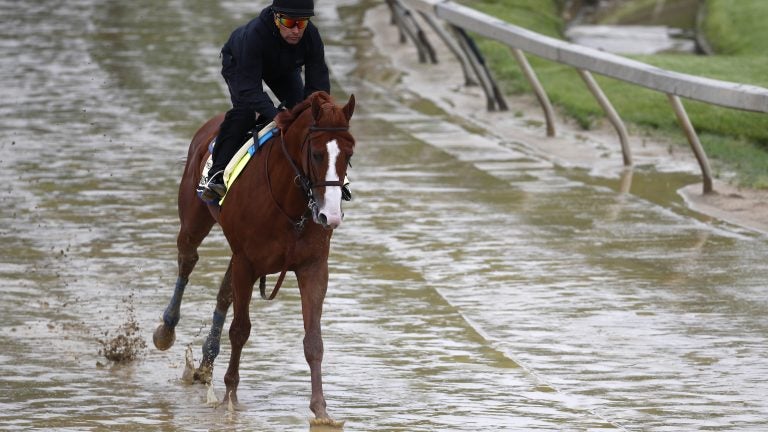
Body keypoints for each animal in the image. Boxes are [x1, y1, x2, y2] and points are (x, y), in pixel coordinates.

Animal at [154, 91, 356, 426]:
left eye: (349, 154)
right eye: (316, 154)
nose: (331, 215)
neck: (289, 204)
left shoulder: (312, 266)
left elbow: (313, 340)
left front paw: (321, 410)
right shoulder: (246, 262)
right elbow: (240, 330)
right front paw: (230, 397)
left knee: (223, 292)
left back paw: (206, 362)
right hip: (195, 219)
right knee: (187, 259)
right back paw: (166, 330)